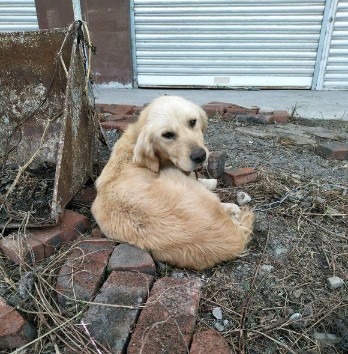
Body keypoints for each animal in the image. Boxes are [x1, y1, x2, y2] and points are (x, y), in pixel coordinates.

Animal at [91, 95, 254, 270]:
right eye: (167, 134)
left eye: (192, 121)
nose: (200, 156)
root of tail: (232, 238)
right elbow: (199, 180)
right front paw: (210, 182)